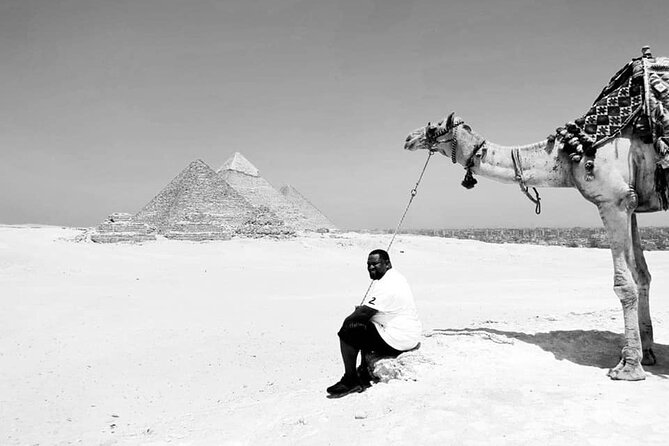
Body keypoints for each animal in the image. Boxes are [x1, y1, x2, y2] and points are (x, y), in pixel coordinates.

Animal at [403, 112, 662, 381]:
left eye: (433, 127)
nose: (409, 138)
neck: (569, 154)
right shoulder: (631, 202)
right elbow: (641, 275)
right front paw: (647, 354)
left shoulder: (614, 199)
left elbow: (624, 285)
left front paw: (629, 366)